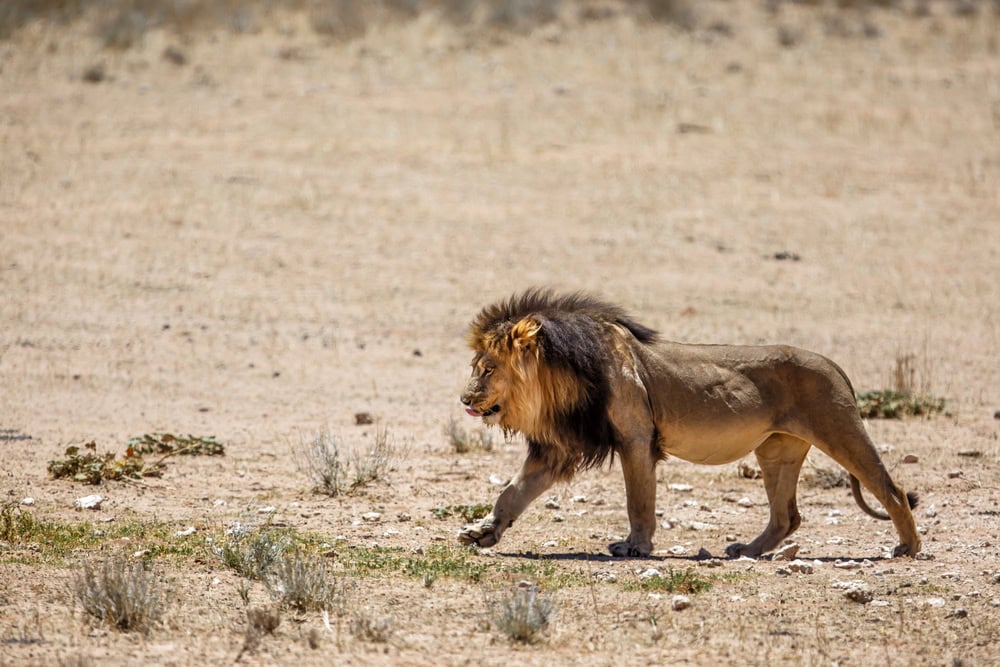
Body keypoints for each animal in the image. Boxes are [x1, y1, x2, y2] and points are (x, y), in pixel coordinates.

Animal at [457, 289, 921, 559]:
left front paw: (635, 547)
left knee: (892, 489)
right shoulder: (558, 447)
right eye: (475, 368)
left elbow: (639, 502)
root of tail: (833, 365)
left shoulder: (636, 439)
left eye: (487, 369)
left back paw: (907, 546)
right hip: (777, 450)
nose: (464, 398)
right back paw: (746, 551)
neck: (561, 378)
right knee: (786, 516)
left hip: (838, 429)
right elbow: (512, 494)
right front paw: (482, 533)